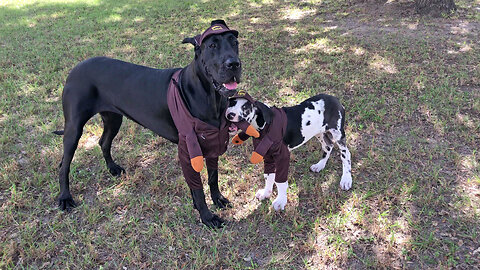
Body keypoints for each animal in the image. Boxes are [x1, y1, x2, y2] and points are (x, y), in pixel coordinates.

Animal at [55, 20, 240, 229]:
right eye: (212, 46)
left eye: (234, 42)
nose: (234, 64)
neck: (210, 96)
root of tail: (75, 68)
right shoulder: (189, 149)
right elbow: (198, 187)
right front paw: (207, 216)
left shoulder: (213, 142)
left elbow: (213, 177)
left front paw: (217, 199)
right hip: (74, 127)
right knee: (64, 164)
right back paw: (65, 197)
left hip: (113, 118)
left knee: (103, 142)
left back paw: (113, 168)